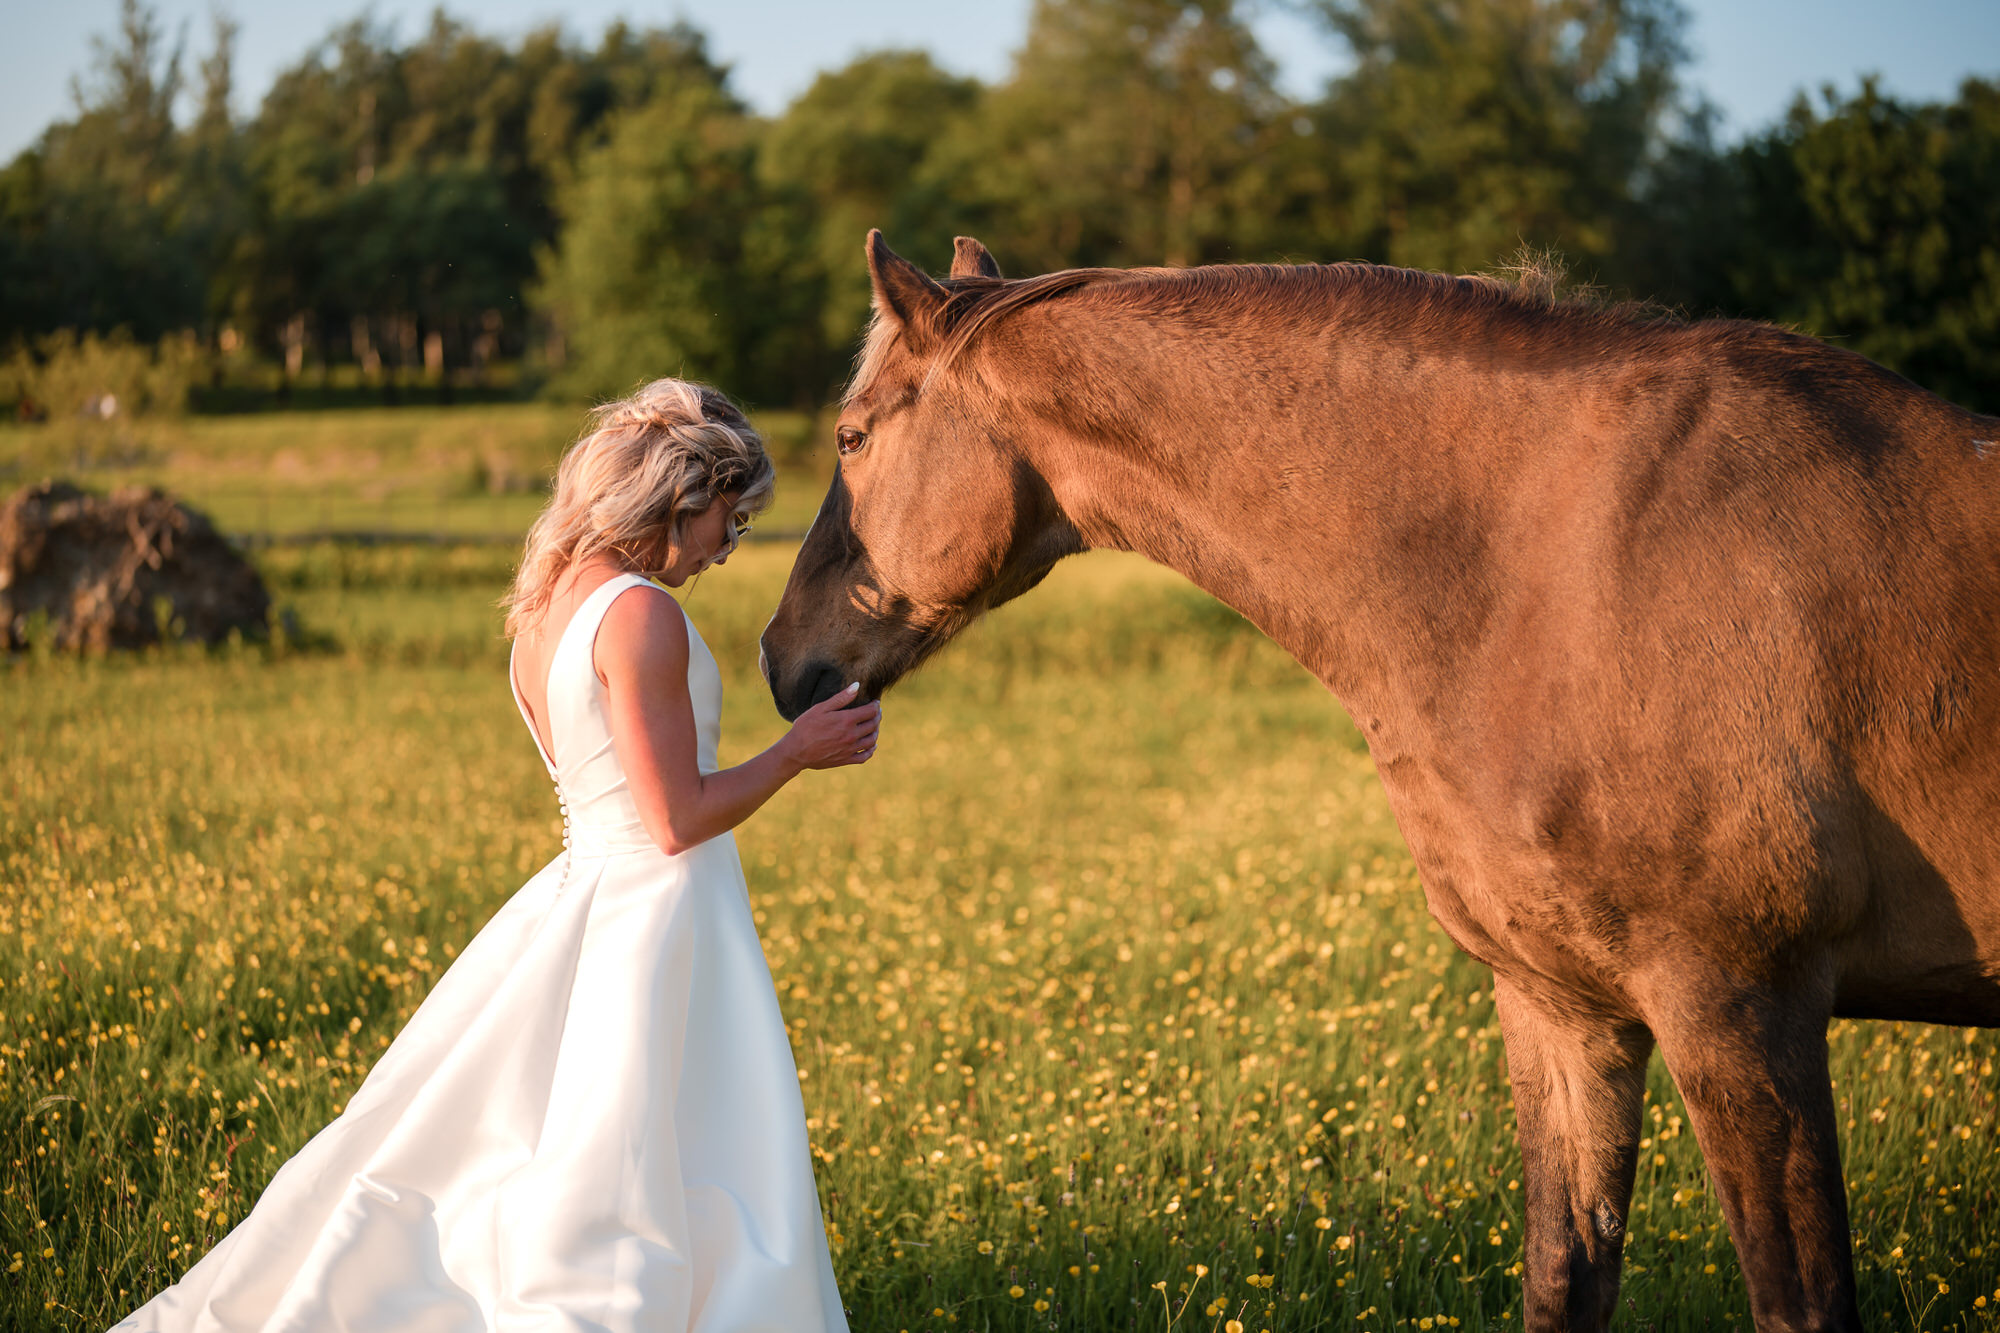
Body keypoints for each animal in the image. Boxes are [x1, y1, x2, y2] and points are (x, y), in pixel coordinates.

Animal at [759, 231, 2000, 1333]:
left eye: (851, 436)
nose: (779, 658)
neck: (1543, 569)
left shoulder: (1739, 1004)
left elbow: (1794, 1302)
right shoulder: (1564, 1007)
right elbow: (1563, 1279)